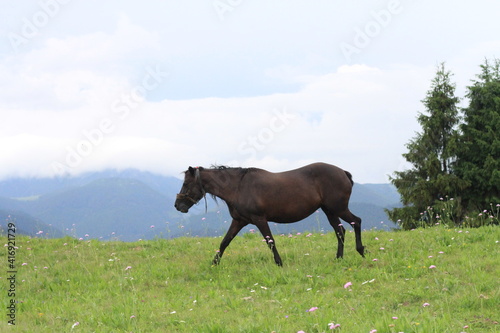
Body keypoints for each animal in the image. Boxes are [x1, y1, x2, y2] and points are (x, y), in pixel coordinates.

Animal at [174, 162, 366, 266]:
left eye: (186, 184)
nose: (178, 206)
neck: (238, 187)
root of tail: (343, 172)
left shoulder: (259, 219)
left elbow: (270, 242)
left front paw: (279, 263)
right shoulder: (239, 221)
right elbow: (224, 242)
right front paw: (214, 263)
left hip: (338, 208)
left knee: (356, 222)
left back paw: (361, 251)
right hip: (330, 210)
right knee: (340, 231)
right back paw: (339, 258)